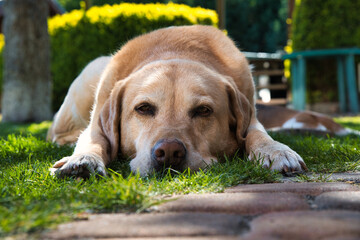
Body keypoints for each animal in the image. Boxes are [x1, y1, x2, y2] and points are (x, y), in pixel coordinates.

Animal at [48, 25, 306, 178]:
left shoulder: (251, 117)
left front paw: (275, 151)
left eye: (203, 110)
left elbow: (258, 135)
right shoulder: (97, 126)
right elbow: (95, 141)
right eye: (143, 108)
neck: (176, 50)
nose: (169, 152)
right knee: (58, 133)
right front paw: (82, 160)